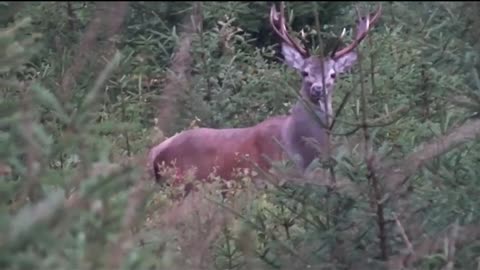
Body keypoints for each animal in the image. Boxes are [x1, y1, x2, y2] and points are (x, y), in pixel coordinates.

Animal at [146, 2, 382, 196]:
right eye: (304, 72)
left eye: (333, 74)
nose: (317, 89)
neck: (300, 149)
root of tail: (155, 152)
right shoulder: (269, 179)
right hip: (178, 183)